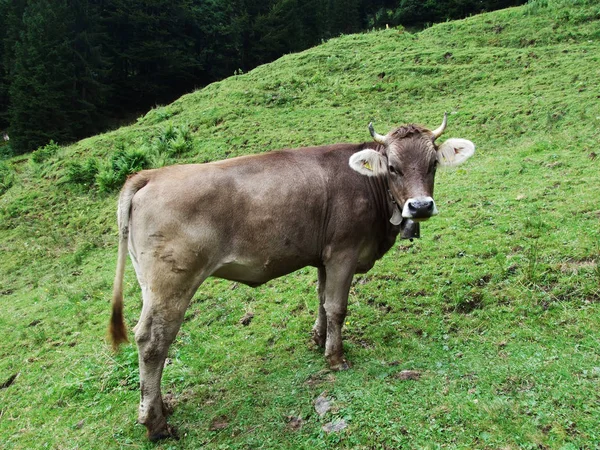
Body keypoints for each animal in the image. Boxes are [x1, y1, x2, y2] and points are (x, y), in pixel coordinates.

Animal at [108, 114, 474, 442]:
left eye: (432, 165)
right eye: (393, 167)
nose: (421, 206)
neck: (368, 187)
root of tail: (152, 175)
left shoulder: (324, 256)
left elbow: (322, 300)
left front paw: (318, 339)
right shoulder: (344, 251)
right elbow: (337, 307)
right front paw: (335, 358)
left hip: (150, 284)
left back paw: (162, 407)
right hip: (171, 283)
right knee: (153, 341)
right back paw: (156, 423)